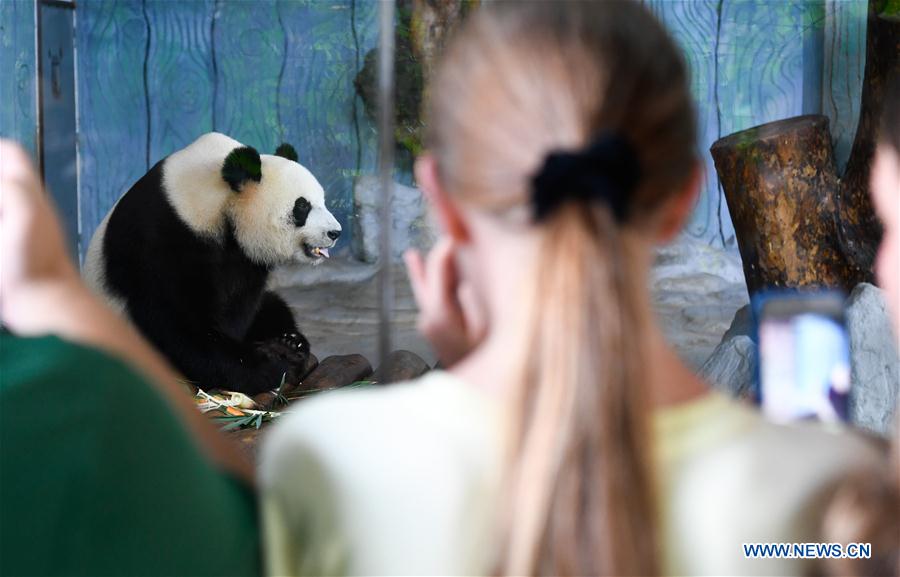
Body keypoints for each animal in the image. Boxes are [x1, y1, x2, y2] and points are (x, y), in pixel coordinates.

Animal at [84, 132, 342, 394]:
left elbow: (241, 306)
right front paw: (275, 362)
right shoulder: (161, 238)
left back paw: (291, 339)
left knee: (273, 304)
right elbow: (180, 327)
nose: (335, 232)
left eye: (322, 201)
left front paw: (287, 346)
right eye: (302, 206)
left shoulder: (246, 258)